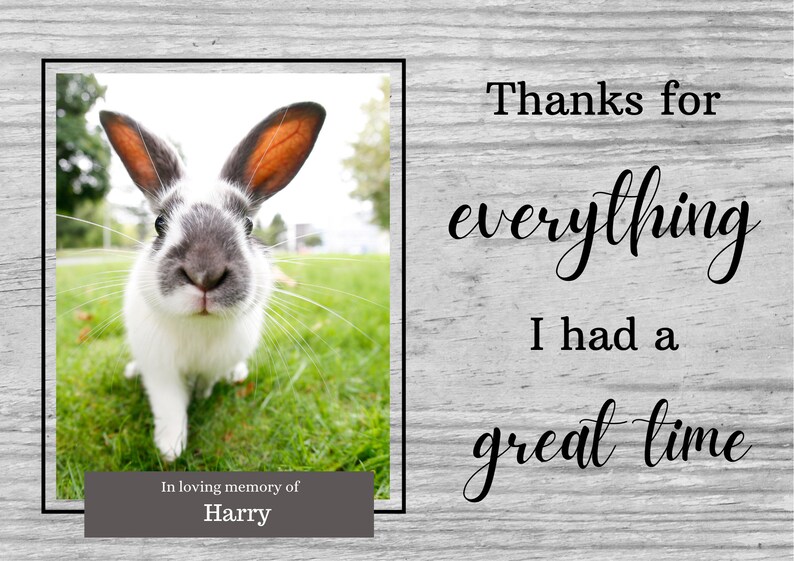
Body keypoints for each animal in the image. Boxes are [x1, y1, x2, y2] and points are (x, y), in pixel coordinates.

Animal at [99, 102, 326, 461]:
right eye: (159, 223)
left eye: (248, 224)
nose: (204, 273)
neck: (199, 326)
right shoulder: (161, 372)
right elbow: (171, 407)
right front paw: (170, 449)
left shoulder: (213, 365)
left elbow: (205, 383)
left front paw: (201, 398)